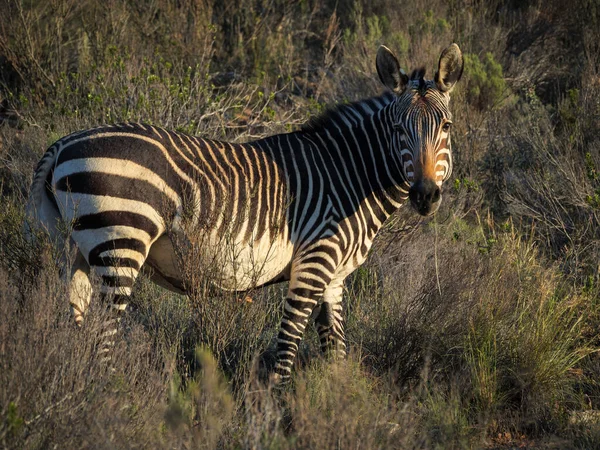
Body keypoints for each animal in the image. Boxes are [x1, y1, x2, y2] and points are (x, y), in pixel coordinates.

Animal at [27, 44, 464, 384]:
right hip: (121, 242)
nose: (425, 195)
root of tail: (62, 144)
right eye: (398, 129)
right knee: (102, 342)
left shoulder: (334, 279)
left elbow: (336, 354)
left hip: (76, 250)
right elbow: (286, 353)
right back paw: (113, 398)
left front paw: (333, 410)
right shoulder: (314, 263)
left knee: (78, 330)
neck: (349, 175)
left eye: (446, 126)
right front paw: (277, 416)